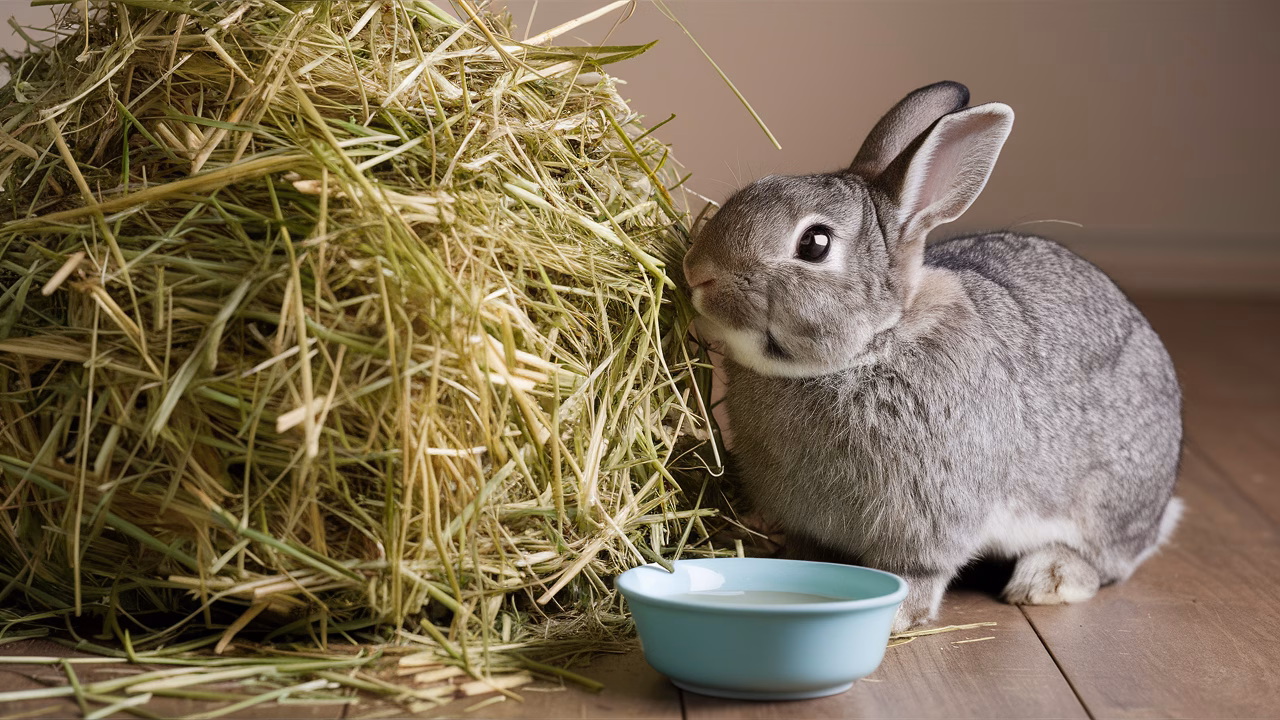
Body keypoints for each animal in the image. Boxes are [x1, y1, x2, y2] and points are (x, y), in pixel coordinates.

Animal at [681, 81, 1183, 633]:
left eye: (814, 243)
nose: (696, 271)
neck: (873, 345)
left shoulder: (929, 518)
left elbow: (918, 570)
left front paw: (900, 614)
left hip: (1106, 500)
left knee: (1105, 561)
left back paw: (1047, 581)